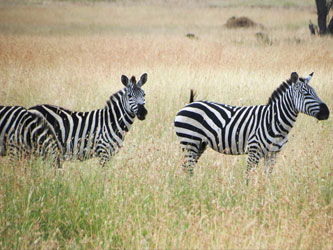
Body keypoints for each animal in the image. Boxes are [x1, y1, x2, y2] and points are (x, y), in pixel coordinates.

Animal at [174, 71, 330, 175]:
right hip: (189, 142)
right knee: (187, 168)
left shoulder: (273, 154)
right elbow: (248, 177)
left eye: (315, 92)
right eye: (306, 94)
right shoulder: (254, 151)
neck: (274, 121)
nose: (327, 112)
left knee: (187, 167)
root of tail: (189, 104)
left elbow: (268, 177)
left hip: (200, 144)